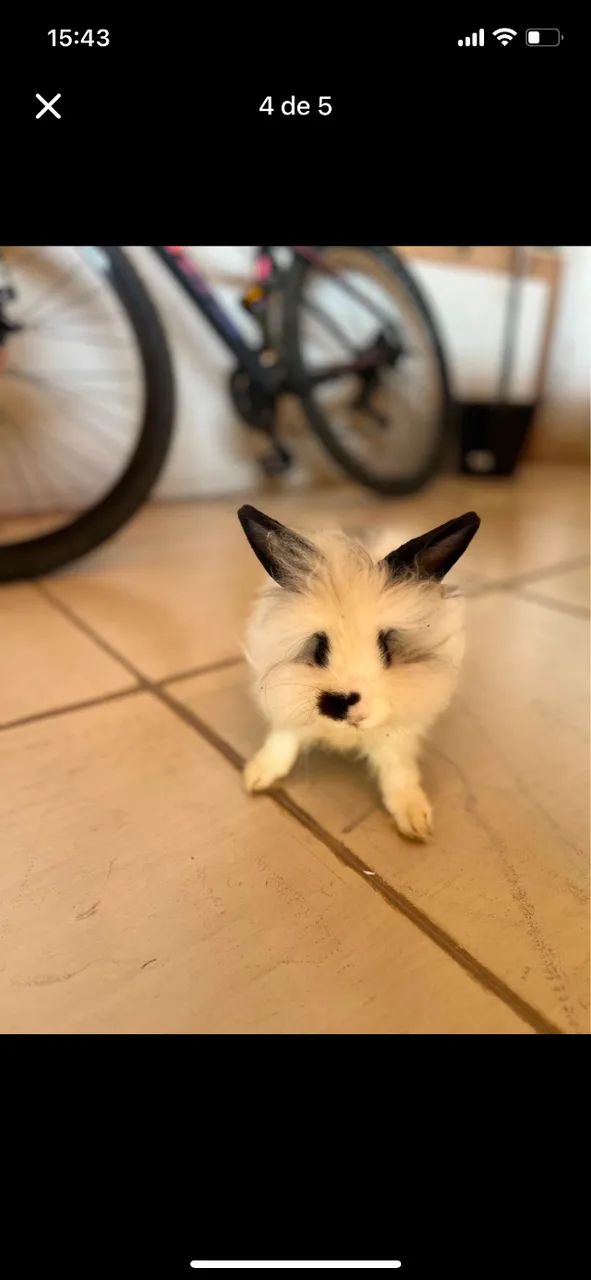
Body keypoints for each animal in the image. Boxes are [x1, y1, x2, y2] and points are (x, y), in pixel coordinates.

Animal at [237, 504, 480, 841]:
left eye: (386, 647)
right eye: (319, 647)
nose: (341, 703)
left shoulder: (399, 734)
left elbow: (398, 770)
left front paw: (414, 818)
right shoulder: (285, 707)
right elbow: (282, 741)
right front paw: (258, 776)